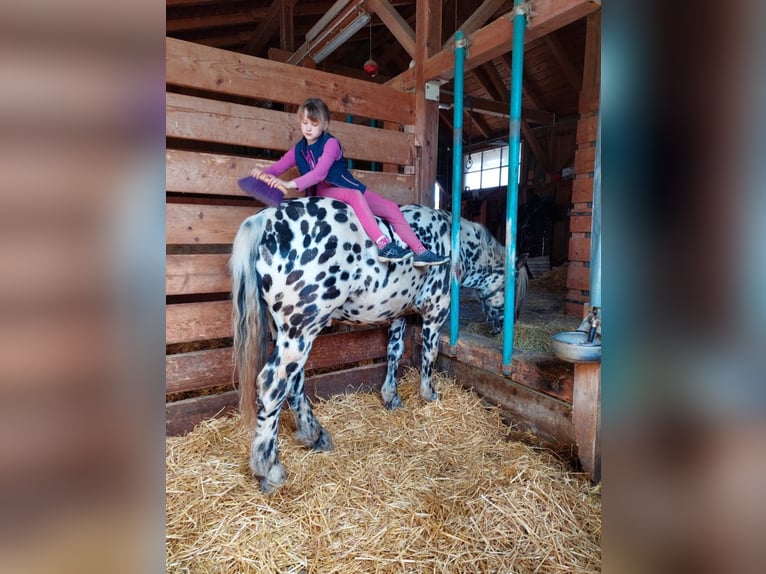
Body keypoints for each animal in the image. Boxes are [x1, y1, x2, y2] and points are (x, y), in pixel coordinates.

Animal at [231, 196, 532, 492]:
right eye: (513, 291)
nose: (505, 325)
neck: (454, 243)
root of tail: (266, 219)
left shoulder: (398, 315)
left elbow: (394, 353)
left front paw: (392, 397)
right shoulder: (435, 313)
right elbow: (430, 354)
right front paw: (430, 395)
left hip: (289, 331)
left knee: (294, 382)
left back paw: (314, 435)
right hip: (301, 330)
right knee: (272, 386)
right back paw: (270, 469)